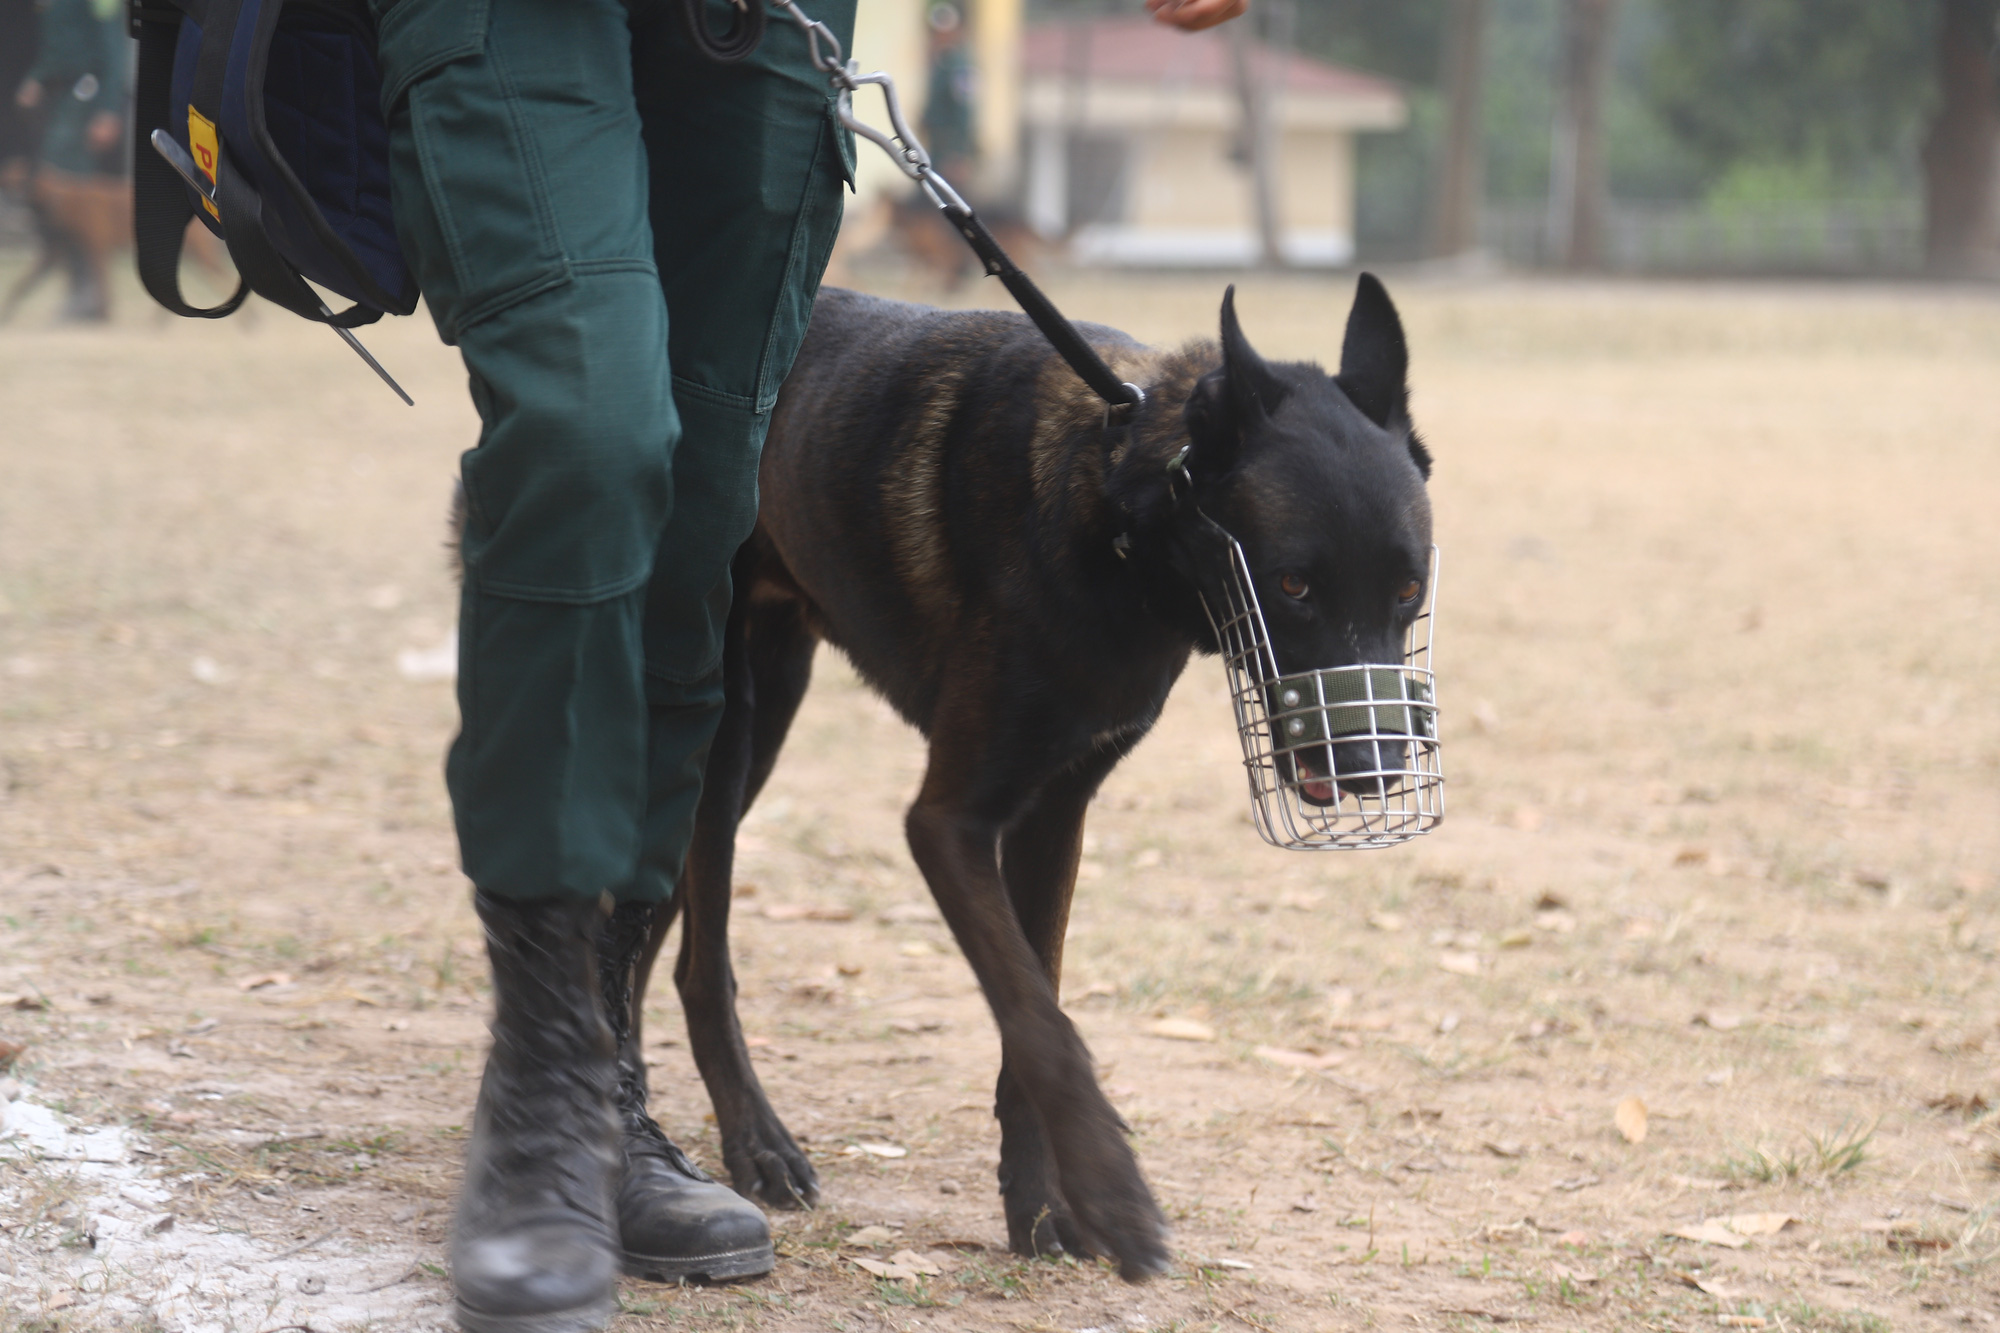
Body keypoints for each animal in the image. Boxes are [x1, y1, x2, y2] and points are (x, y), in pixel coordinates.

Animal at [632, 274, 1432, 1272]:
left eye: (1409, 591)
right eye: (1292, 585)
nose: (1375, 770)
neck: (1121, 503)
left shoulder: (1054, 812)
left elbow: (1032, 1001)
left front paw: (1043, 1200)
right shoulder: (949, 822)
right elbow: (1043, 1023)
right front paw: (1114, 1194)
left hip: (759, 733)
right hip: (722, 732)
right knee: (698, 958)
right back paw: (752, 1143)